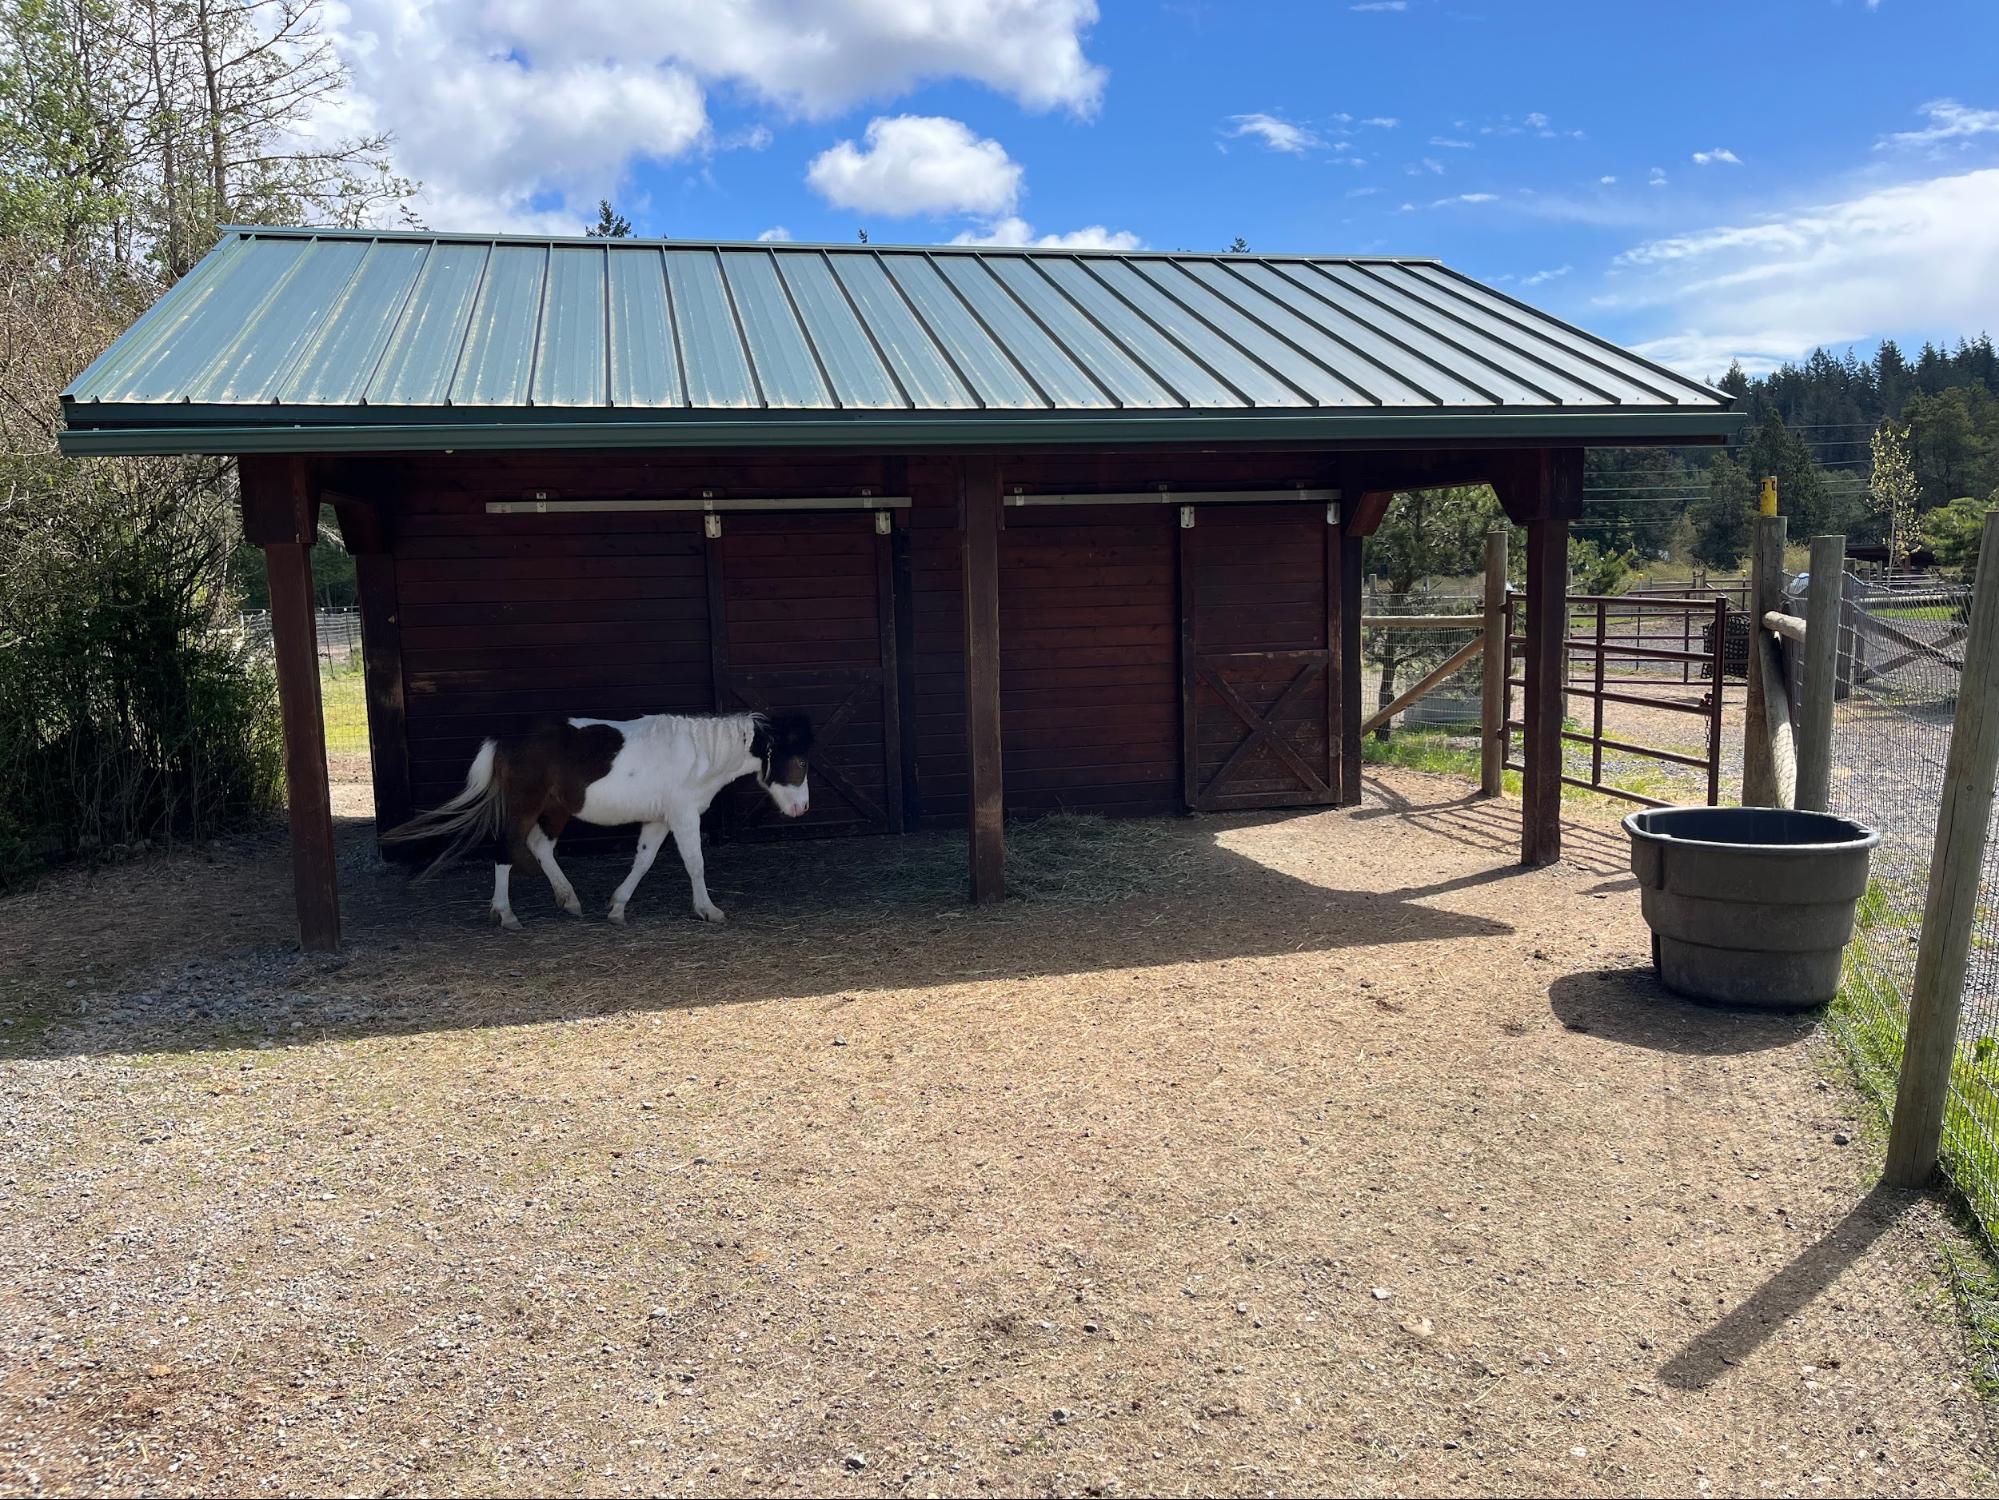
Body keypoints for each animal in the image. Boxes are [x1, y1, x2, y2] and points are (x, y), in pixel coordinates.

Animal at [386, 711, 812, 929]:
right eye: (801, 762)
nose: (802, 809)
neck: (699, 754)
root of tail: (505, 740)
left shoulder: (659, 820)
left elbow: (643, 861)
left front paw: (617, 907)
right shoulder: (684, 816)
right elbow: (695, 864)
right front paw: (708, 910)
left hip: (556, 810)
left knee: (540, 847)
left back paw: (569, 899)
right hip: (525, 807)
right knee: (507, 850)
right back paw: (506, 913)